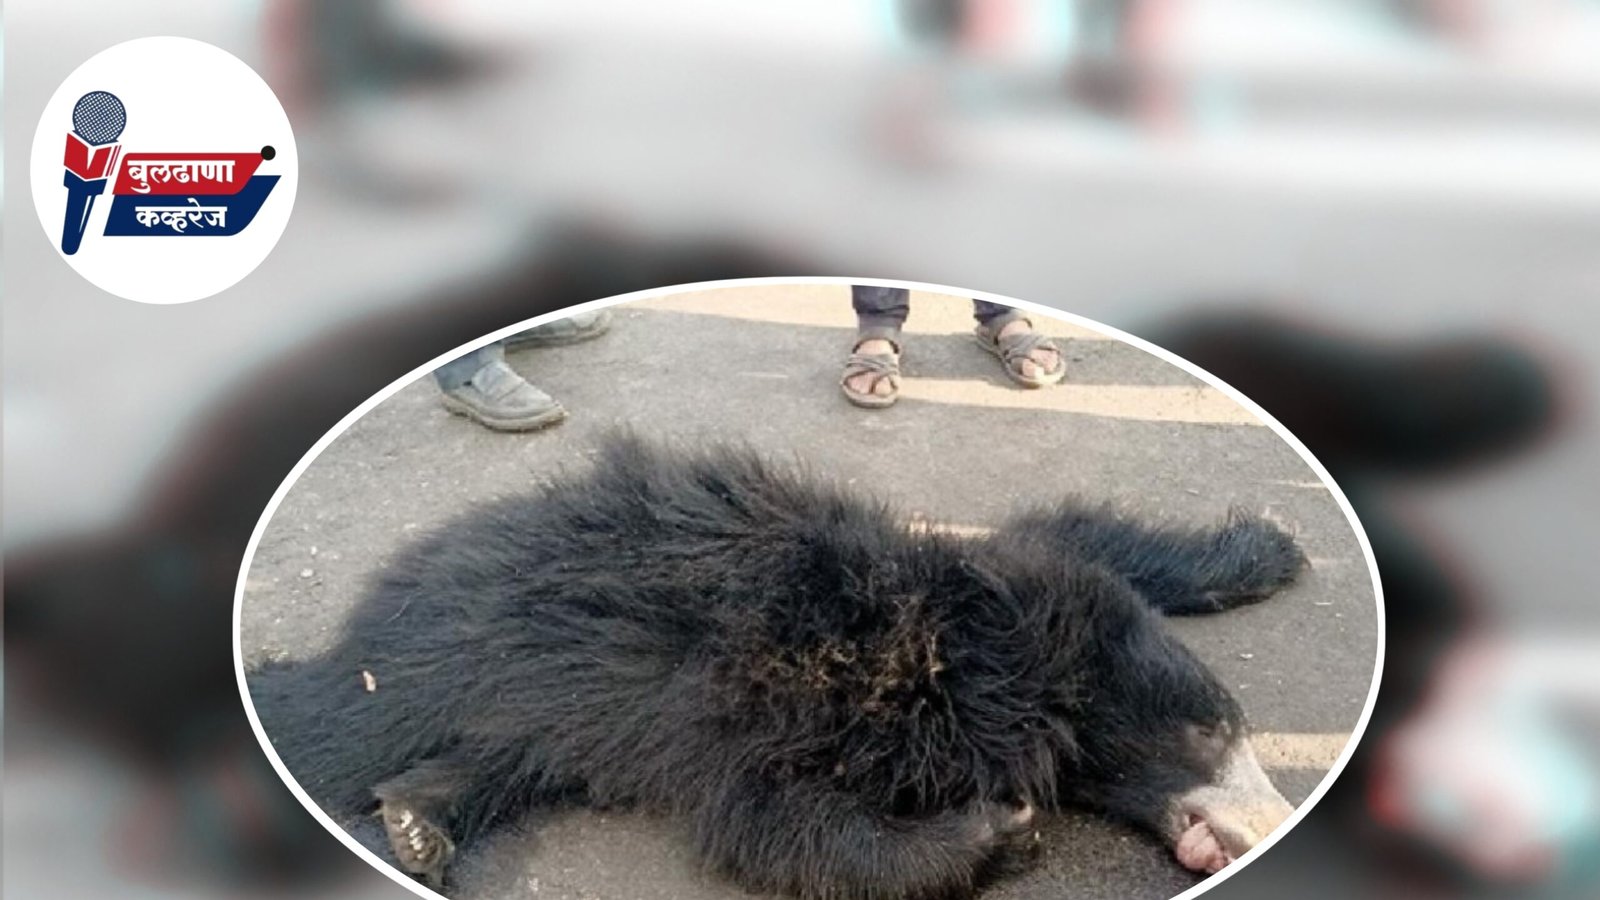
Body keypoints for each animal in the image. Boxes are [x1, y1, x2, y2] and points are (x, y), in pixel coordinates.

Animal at [246, 435, 1309, 899]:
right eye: (1214, 730)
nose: (1275, 825)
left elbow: (1079, 533)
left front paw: (1271, 545)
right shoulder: (773, 694)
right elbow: (771, 816)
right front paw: (999, 830)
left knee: (499, 758)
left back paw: (419, 824)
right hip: (456, 652)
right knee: (338, 723)